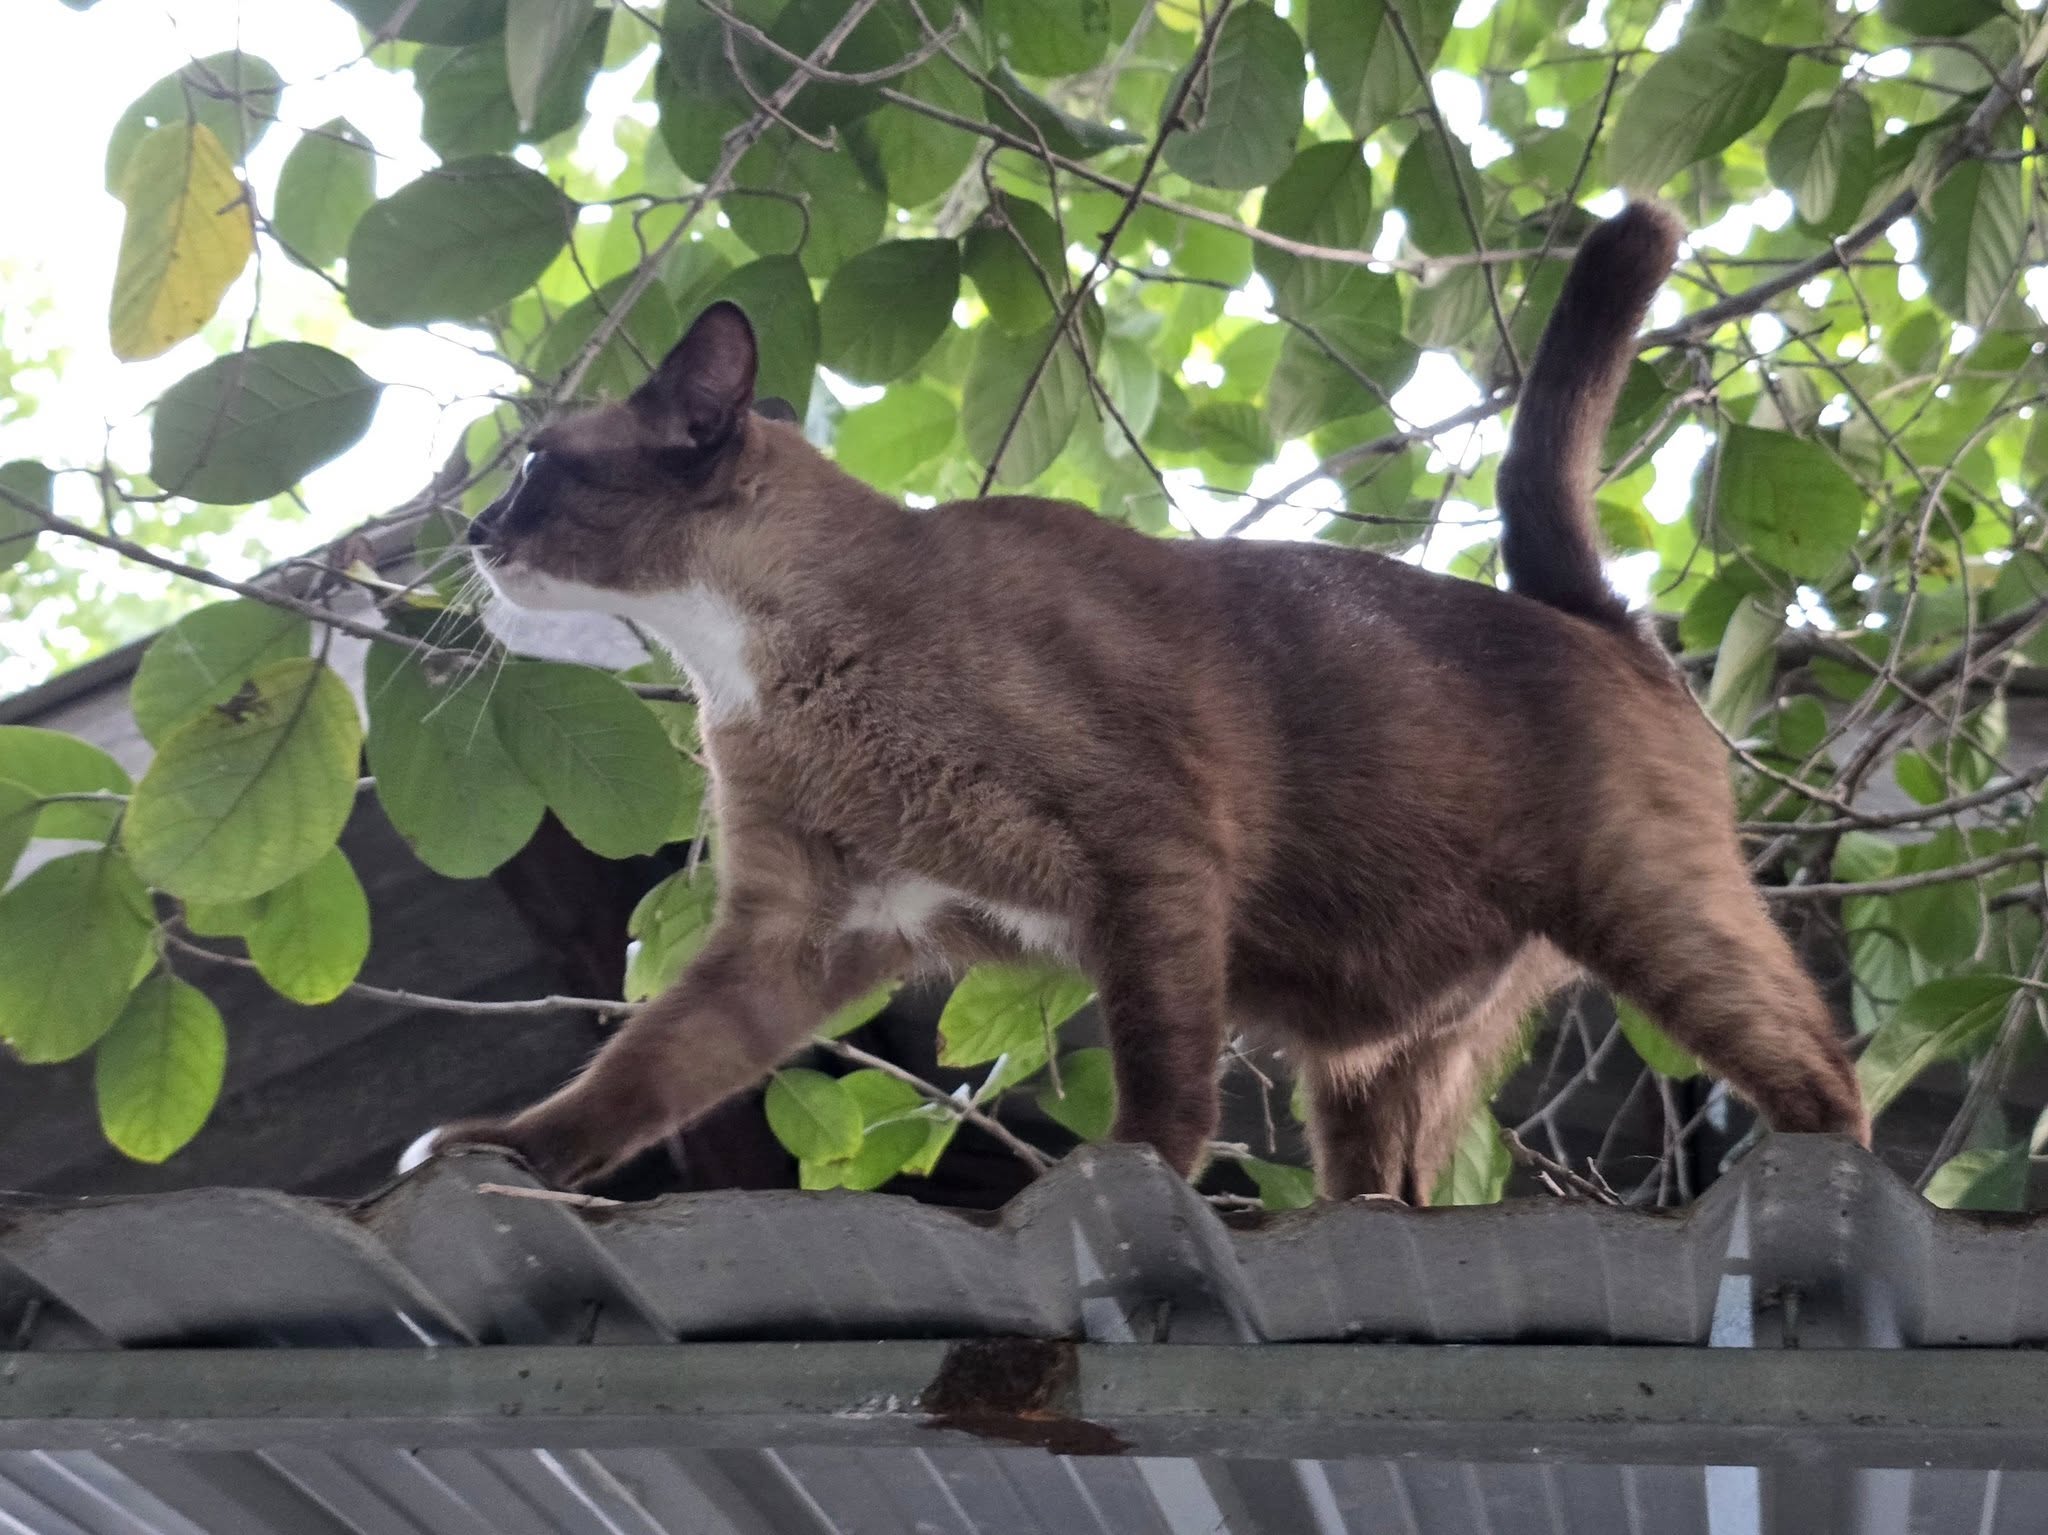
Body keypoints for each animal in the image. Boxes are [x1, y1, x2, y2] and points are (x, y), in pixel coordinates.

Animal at [405, 202, 1867, 1203]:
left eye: (534, 467)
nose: (472, 531)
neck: (752, 664)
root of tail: (1586, 612)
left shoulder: (1146, 855)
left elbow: (1161, 1080)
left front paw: (1125, 1175)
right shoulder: (794, 934)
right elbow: (636, 1075)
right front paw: (507, 1153)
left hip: (1643, 903)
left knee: (1821, 1070)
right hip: (1386, 1062)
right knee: (1388, 1182)